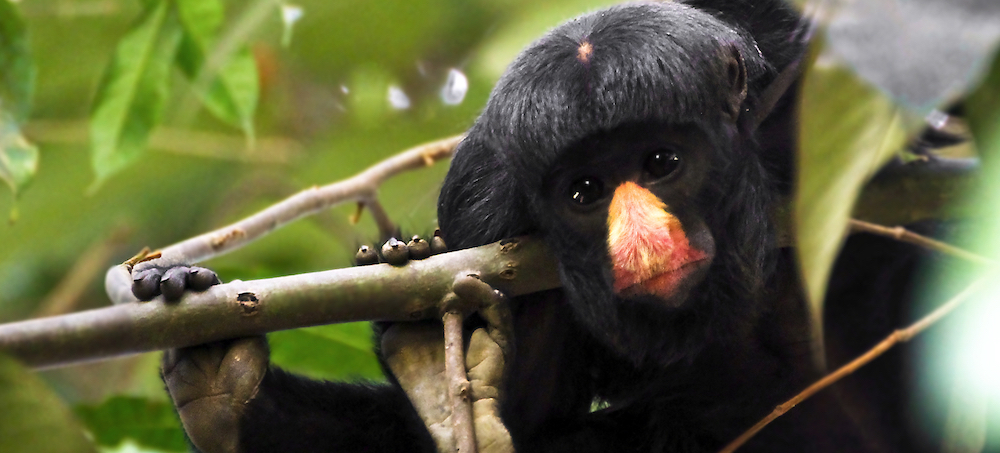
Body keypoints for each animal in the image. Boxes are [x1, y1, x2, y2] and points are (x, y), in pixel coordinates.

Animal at [133, 1, 928, 450]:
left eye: (663, 162)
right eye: (584, 192)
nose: (641, 242)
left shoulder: (800, 80)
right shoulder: (484, 205)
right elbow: (536, 411)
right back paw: (226, 392)